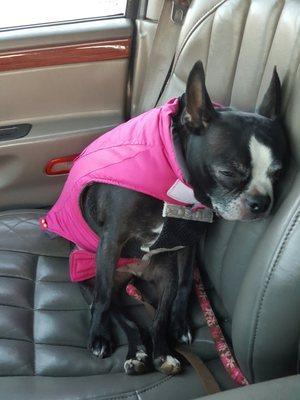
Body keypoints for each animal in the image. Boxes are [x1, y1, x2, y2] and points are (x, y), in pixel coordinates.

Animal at [81, 61, 288, 376]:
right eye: (228, 172)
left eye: (278, 174)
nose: (261, 202)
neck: (174, 175)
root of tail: (134, 275)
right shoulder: (111, 240)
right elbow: (102, 301)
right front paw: (97, 336)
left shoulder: (188, 239)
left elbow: (185, 283)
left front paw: (179, 324)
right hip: (94, 272)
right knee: (111, 306)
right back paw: (134, 348)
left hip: (163, 273)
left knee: (157, 316)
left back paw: (161, 352)